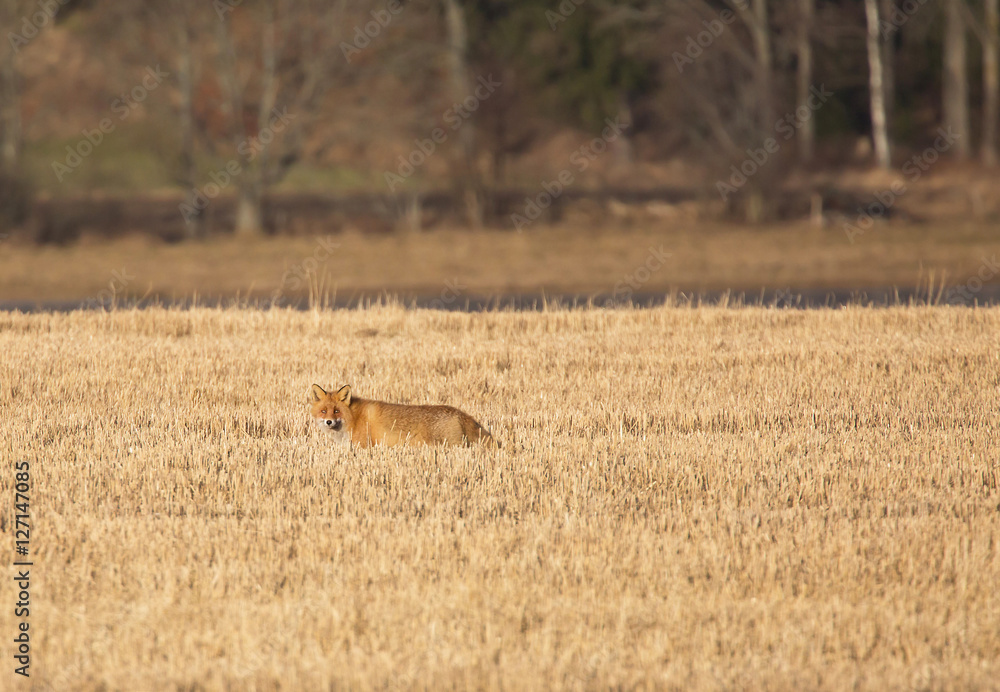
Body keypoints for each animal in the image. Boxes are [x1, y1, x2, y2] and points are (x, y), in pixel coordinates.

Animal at [310, 384, 498, 448]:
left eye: (336, 411)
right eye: (323, 411)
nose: (328, 422)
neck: (354, 418)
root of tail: (460, 413)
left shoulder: (364, 446)